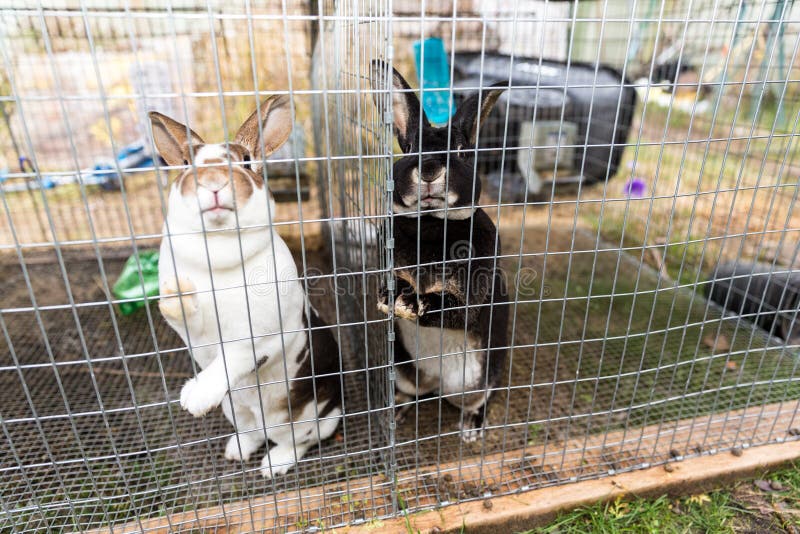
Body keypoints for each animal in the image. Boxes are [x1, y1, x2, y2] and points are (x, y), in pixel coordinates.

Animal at [149, 95, 341, 479]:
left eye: (247, 161)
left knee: (298, 442)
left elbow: (232, 358)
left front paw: (196, 398)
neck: (219, 246)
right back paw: (236, 451)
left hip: (310, 420)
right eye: (186, 164)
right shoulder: (195, 335)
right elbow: (185, 316)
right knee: (253, 433)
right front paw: (177, 292)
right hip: (235, 410)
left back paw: (273, 466)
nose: (213, 181)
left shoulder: (259, 336)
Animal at [369, 60, 509, 442]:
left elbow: (454, 310)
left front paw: (413, 303)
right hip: (406, 373)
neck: (431, 224)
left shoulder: (472, 293)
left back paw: (471, 429)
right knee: (412, 392)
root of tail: (436, 383)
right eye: (409, 149)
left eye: (461, 152)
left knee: (479, 401)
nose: (430, 169)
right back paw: (394, 414)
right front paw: (395, 298)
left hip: (478, 381)